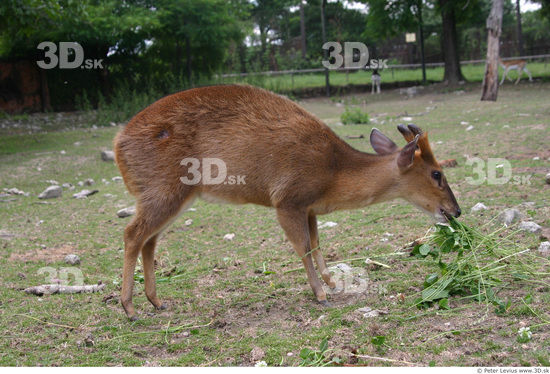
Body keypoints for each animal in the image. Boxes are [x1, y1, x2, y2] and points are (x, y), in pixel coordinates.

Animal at [115, 83, 462, 320]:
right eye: (436, 173)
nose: (455, 211)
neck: (334, 172)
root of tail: (119, 144)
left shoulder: (310, 208)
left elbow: (319, 244)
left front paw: (332, 282)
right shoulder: (287, 200)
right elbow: (304, 247)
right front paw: (321, 293)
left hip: (173, 196)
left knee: (150, 240)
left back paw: (157, 301)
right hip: (163, 189)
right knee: (132, 234)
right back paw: (130, 308)